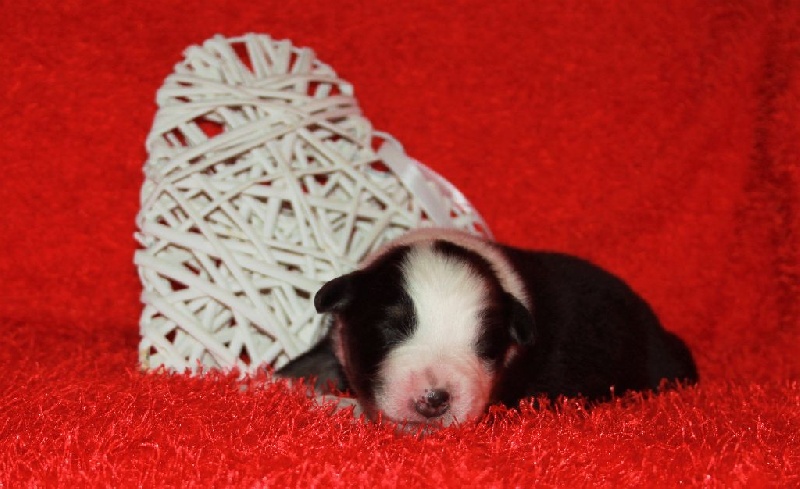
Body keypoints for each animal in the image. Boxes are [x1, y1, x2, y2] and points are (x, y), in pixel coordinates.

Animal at [277, 229, 698, 427]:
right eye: (390, 329)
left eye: (485, 345)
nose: (435, 399)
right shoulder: (337, 343)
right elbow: (306, 368)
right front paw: (271, 382)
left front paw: (334, 404)